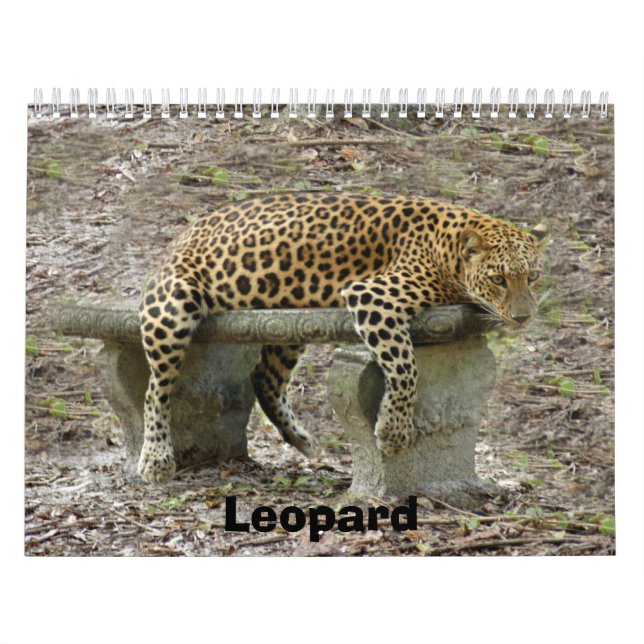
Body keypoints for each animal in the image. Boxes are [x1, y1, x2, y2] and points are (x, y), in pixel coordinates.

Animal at [138, 192, 547, 483]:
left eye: (533, 276)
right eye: (498, 280)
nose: (524, 317)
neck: (449, 250)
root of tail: (181, 235)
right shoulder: (374, 296)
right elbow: (405, 367)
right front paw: (393, 431)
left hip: (290, 323)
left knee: (264, 377)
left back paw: (301, 440)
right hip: (173, 306)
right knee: (157, 388)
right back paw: (155, 459)